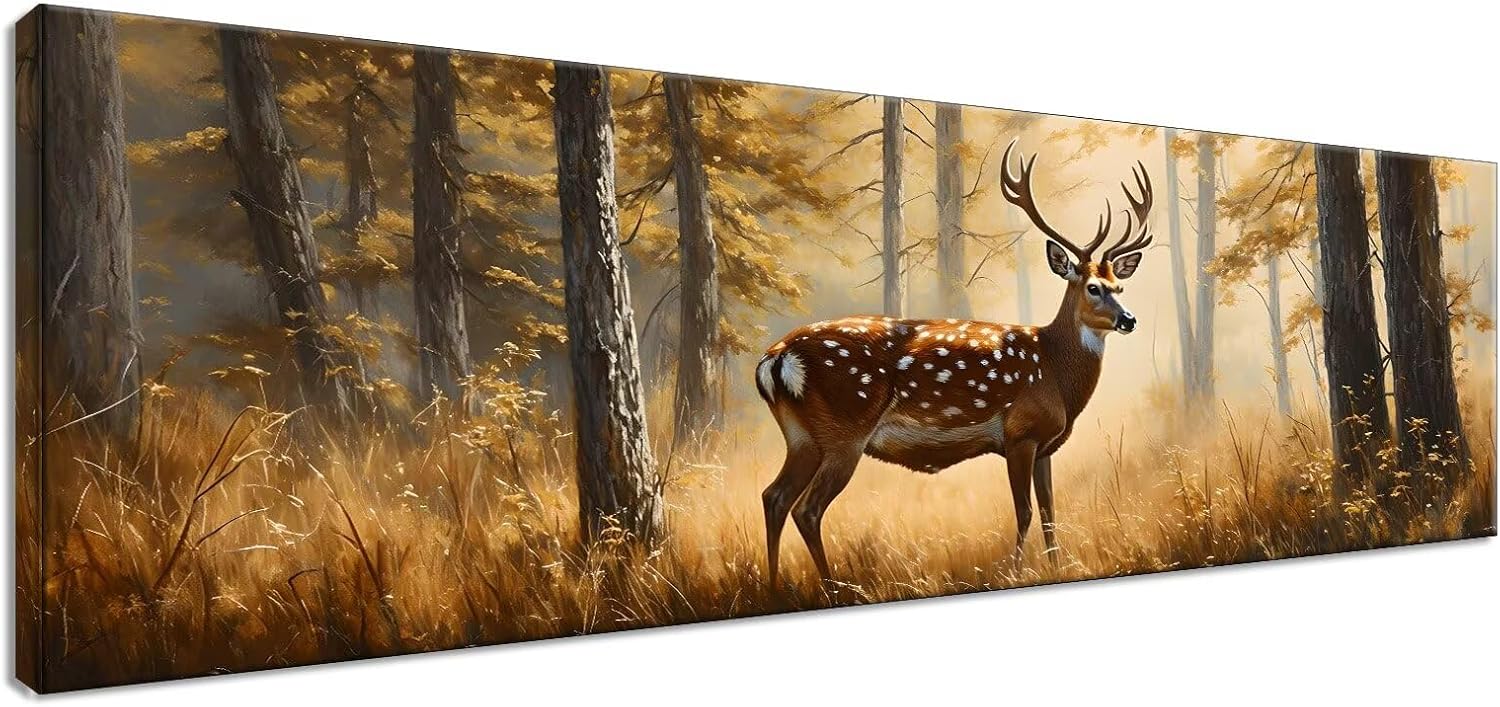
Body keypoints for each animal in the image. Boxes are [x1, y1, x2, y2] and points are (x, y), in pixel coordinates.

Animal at [753, 140, 1154, 585]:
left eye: (1121, 286)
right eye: (1093, 288)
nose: (1129, 319)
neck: (1055, 372)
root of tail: (776, 359)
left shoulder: (1046, 445)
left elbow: (1050, 511)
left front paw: (1057, 566)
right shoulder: (1020, 433)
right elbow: (1025, 511)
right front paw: (1015, 570)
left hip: (801, 435)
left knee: (774, 496)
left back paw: (775, 586)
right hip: (845, 429)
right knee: (807, 509)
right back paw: (833, 587)